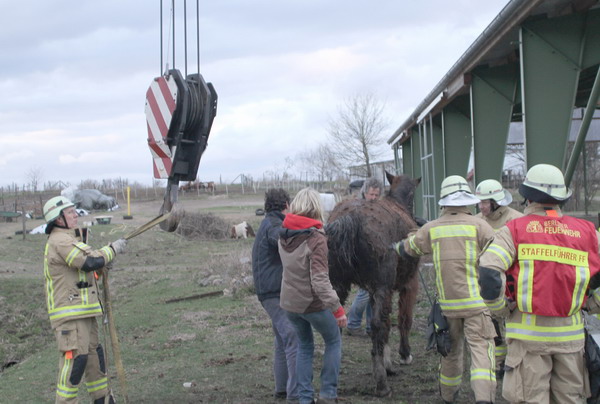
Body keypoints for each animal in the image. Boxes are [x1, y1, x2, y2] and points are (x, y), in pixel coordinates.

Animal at [326, 172, 420, 396]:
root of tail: (351, 218)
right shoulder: (408, 284)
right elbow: (403, 320)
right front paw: (403, 354)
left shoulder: (373, 290)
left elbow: (385, 325)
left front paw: (387, 363)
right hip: (381, 287)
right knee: (377, 325)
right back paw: (381, 384)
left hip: (338, 285)